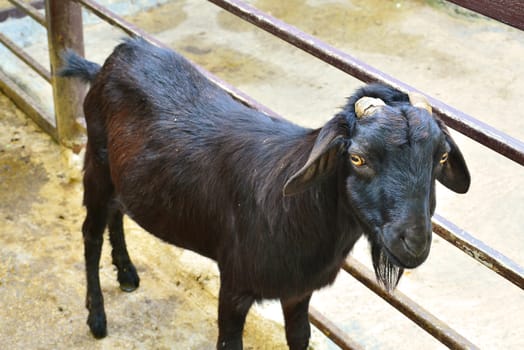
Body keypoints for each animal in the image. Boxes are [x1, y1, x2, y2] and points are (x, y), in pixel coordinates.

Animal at [60, 37, 470, 348]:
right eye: (357, 157)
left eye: (441, 156)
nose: (414, 243)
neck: (301, 214)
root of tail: (108, 62)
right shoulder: (235, 284)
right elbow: (230, 341)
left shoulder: (298, 291)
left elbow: (299, 337)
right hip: (96, 165)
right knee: (90, 232)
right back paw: (97, 317)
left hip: (121, 176)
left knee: (117, 211)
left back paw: (127, 273)